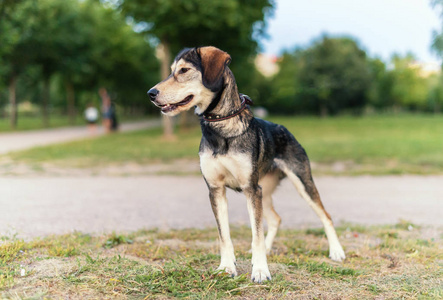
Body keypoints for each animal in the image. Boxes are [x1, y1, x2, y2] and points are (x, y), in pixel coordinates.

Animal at [149, 45, 346, 282]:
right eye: (170, 71)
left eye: (184, 70)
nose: (151, 93)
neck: (221, 128)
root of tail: (285, 129)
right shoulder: (216, 190)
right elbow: (224, 236)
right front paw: (226, 267)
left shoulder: (251, 189)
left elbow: (256, 234)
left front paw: (260, 270)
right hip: (265, 190)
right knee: (276, 219)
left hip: (300, 182)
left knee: (325, 216)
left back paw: (336, 251)